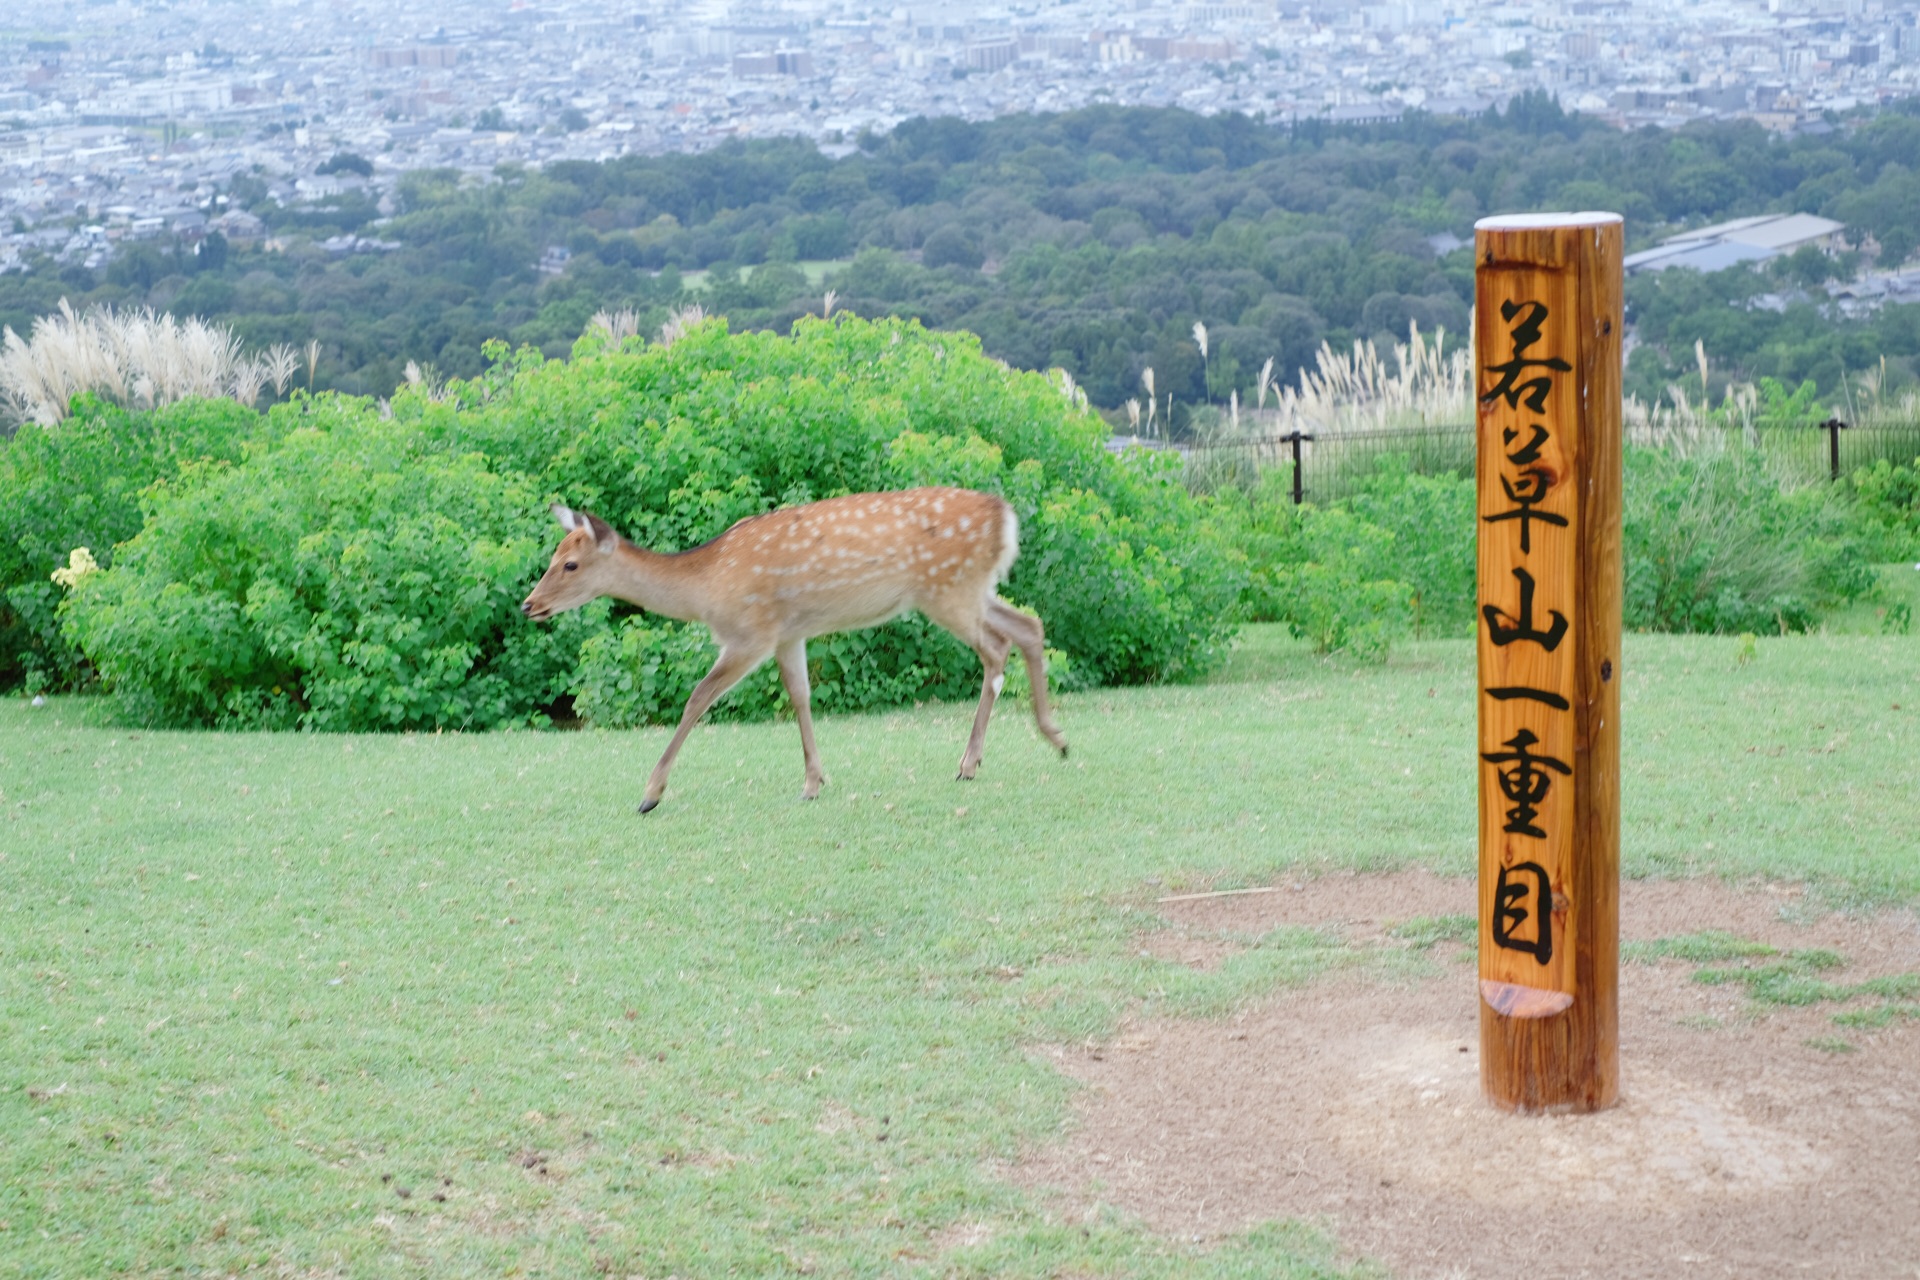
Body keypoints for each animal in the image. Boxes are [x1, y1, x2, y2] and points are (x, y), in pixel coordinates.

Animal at [518, 485, 1075, 817]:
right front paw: (814, 779)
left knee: (997, 648)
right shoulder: (789, 634)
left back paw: (971, 761)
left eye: (570, 564)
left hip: (947, 590)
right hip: (970, 589)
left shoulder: (751, 633)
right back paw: (1055, 739)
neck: (705, 590)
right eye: (554, 555)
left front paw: (651, 794)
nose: (529, 605)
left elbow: (698, 698)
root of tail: (1006, 517)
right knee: (1029, 625)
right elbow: (800, 696)